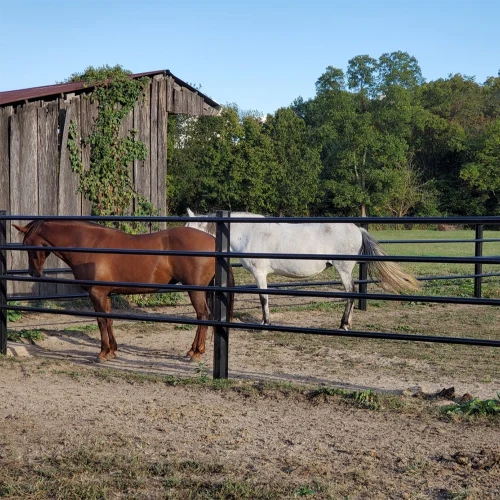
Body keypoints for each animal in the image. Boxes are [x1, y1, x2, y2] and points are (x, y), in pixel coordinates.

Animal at [13, 221, 234, 362]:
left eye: (28, 245)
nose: (33, 273)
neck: (88, 245)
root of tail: (213, 242)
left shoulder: (97, 294)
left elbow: (101, 321)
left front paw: (103, 353)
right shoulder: (106, 295)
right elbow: (109, 320)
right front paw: (112, 350)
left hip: (195, 290)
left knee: (202, 316)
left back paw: (196, 353)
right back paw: (192, 351)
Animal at [184, 209, 418, 330]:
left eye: (188, 229)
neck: (250, 232)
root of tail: (357, 229)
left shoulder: (260, 274)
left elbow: (263, 298)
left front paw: (265, 322)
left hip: (343, 270)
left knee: (351, 292)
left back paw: (343, 324)